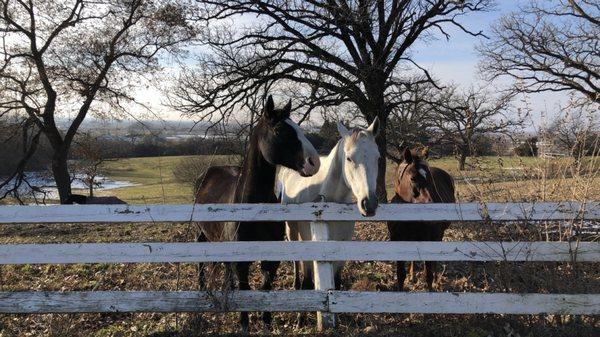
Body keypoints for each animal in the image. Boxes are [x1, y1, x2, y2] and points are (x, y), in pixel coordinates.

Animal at [195, 95, 322, 330]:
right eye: (280, 131)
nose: (314, 162)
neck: (254, 209)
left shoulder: (270, 260)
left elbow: (265, 289)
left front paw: (266, 322)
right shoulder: (241, 262)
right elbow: (246, 290)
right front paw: (245, 324)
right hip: (202, 233)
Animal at [276, 117, 380, 290]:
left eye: (377, 157)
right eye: (349, 158)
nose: (369, 204)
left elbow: (336, 282)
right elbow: (307, 280)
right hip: (291, 229)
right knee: (296, 261)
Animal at [390, 148, 454, 290]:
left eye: (431, 179)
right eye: (413, 178)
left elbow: (428, 274)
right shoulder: (397, 240)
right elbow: (400, 275)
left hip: (438, 235)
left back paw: (435, 279)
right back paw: (412, 276)